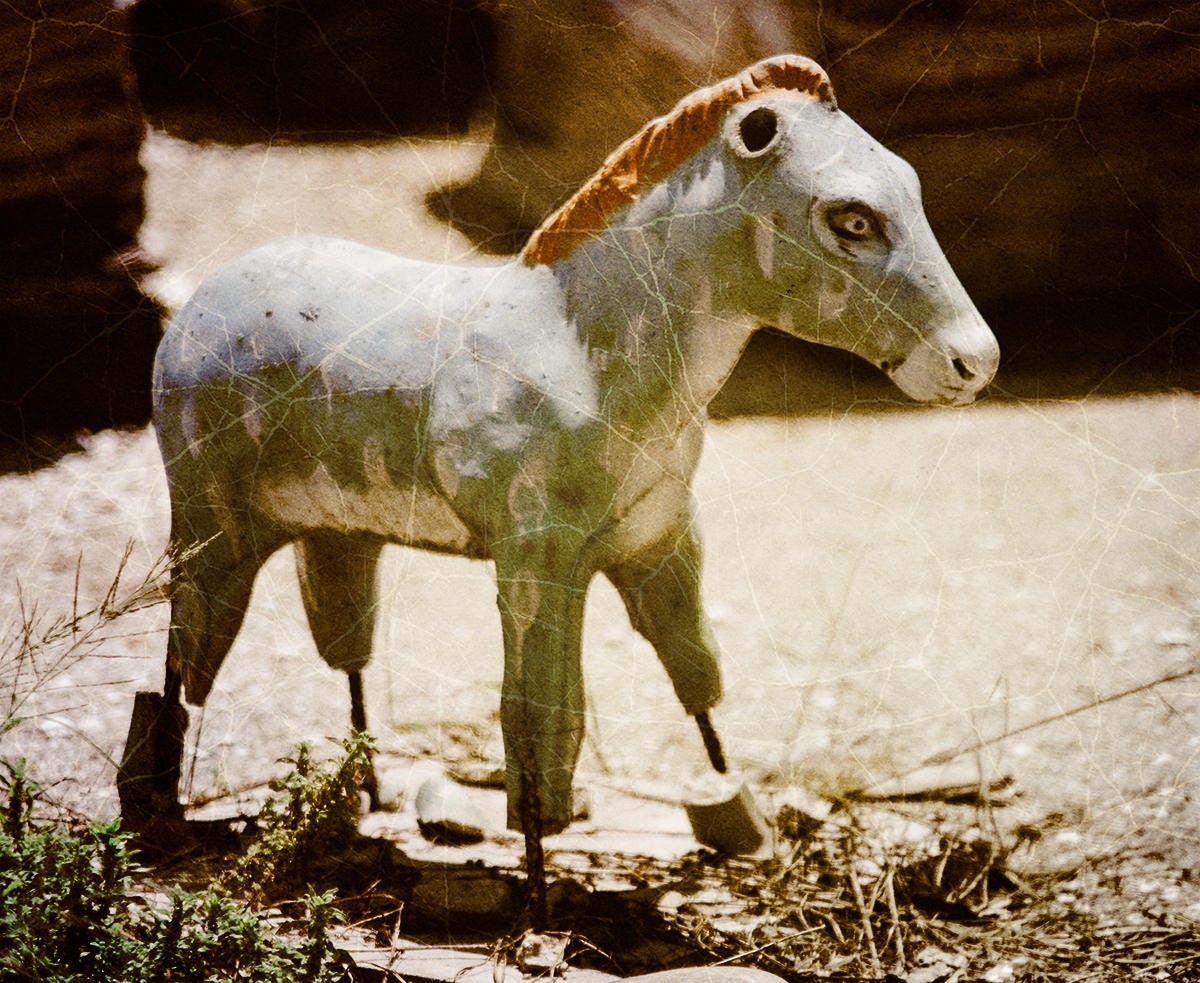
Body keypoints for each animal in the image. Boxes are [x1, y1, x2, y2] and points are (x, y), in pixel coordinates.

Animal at [118, 54, 999, 918]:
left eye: (909, 186)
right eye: (851, 219)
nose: (974, 362)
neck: (587, 348)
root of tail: (198, 303)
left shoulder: (661, 539)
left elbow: (697, 675)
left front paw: (740, 818)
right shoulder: (537, 561)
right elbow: (540, 715)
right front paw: (539, 900)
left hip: (336, 532)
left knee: (344, 654)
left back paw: (364, 795)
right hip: (213, 526)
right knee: (185, 665)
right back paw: (158, 813)